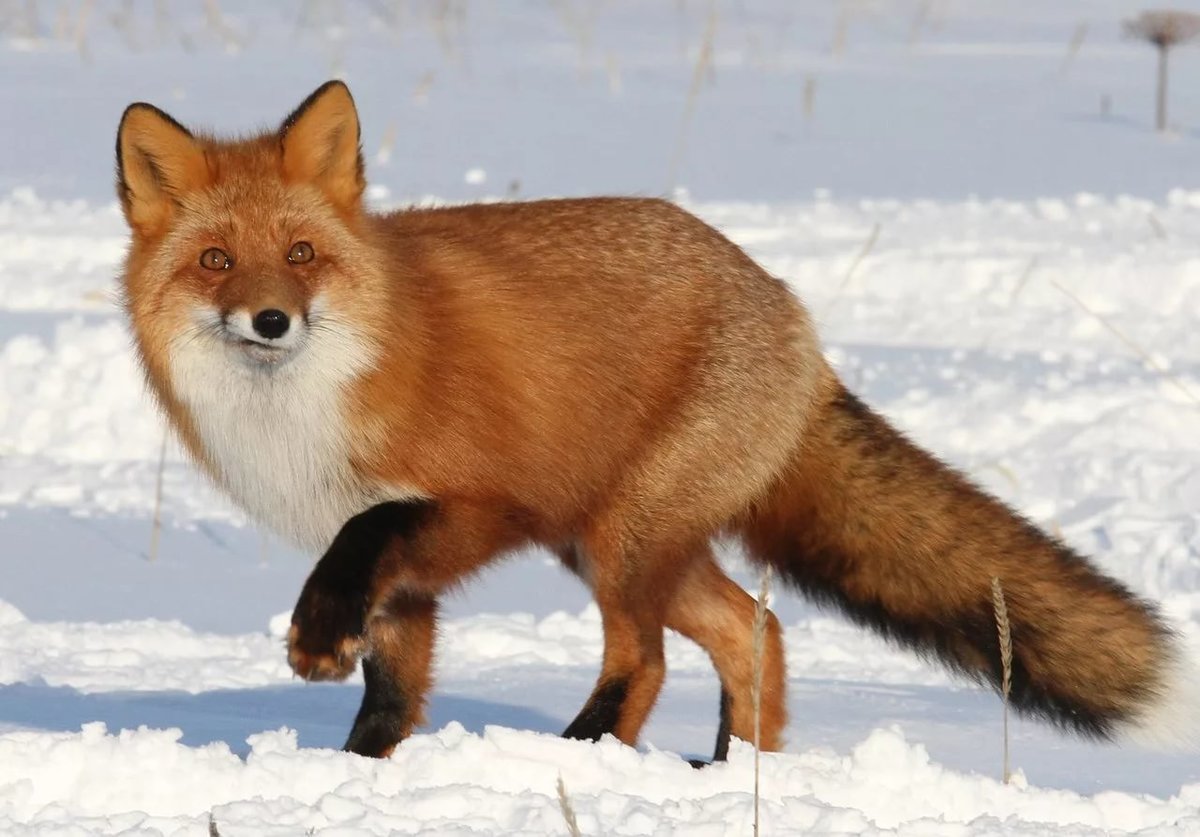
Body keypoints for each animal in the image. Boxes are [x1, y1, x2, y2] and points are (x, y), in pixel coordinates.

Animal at [115, 80, 1197, 763]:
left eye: (301, 255)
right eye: (217, 262)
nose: (271, 320)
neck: (305, 408)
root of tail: (791, 314)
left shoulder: (470, 507)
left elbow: (364, 548)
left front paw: (314, 640)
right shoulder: (406, 574)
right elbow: (392, 693)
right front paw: (359, 773)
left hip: (617, 538)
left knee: (651, 656)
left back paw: (589, 754)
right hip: (624, 545)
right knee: (754, 631)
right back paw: (730, 777)